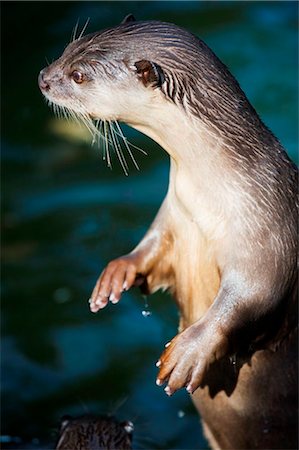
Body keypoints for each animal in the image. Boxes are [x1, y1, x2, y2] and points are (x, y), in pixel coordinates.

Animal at [38, 15, 298, 450]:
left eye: (78, 75)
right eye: (68, 49)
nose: (42, 78)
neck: (217, 193)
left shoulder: (270, 232)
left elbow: (253, 294)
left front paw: (188, 352)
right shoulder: (176, 211)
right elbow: (152, 249)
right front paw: (117, 274)